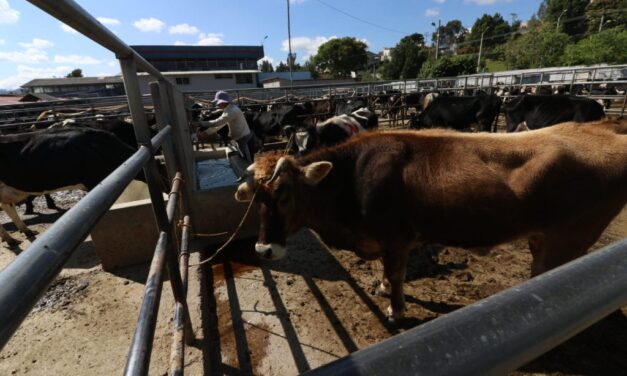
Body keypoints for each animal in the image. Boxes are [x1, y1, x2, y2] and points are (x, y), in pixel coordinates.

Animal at [234, 119, 627, 322]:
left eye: (285, 194)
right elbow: (386, 273)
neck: (351, 180)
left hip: (567, 240)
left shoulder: (397, 240)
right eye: (254, 198)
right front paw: (380, 287)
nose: (264, 249)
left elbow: (396, 276)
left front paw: (395, 308)